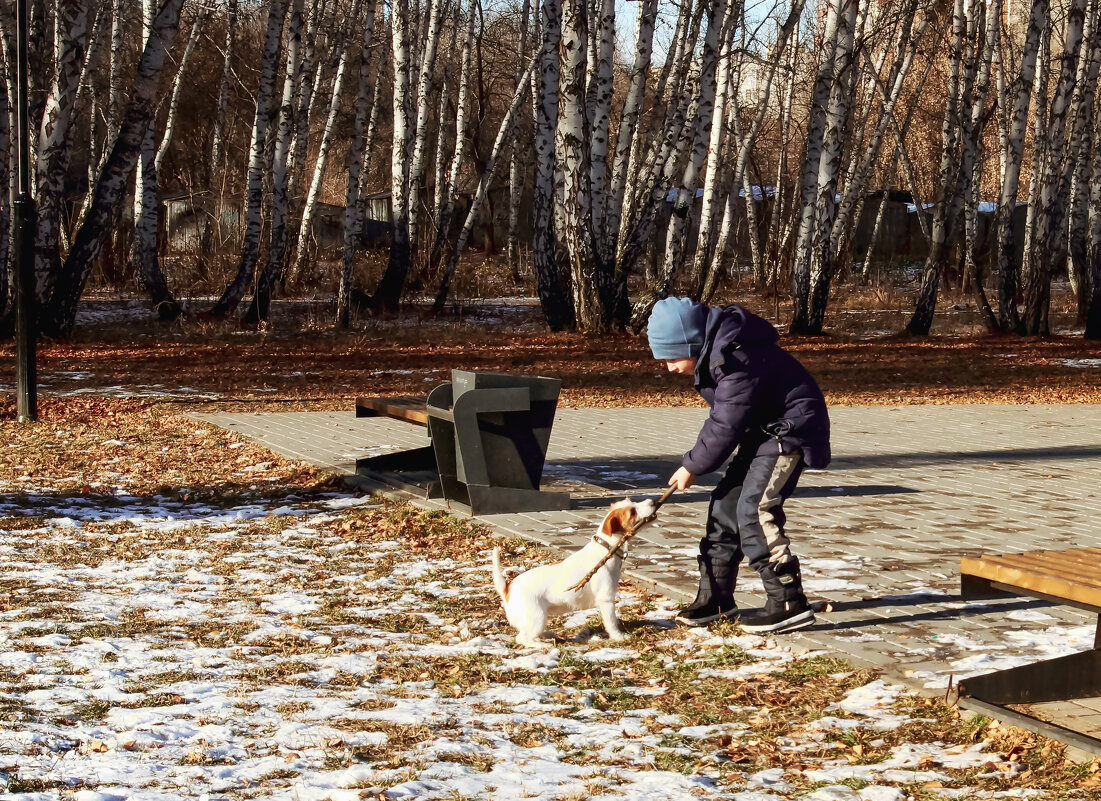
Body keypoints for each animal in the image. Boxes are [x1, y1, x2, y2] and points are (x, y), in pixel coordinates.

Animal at [491, 497, 651, 646]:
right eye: (632, 512)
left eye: (633, 503)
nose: (653, 502)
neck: (606, 548)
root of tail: (507, 588)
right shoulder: (606, 599)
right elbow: (611, 622)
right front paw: (619, 636)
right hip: (538, 617)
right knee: (522, 638)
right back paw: (542, 645)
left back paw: (548, 635)